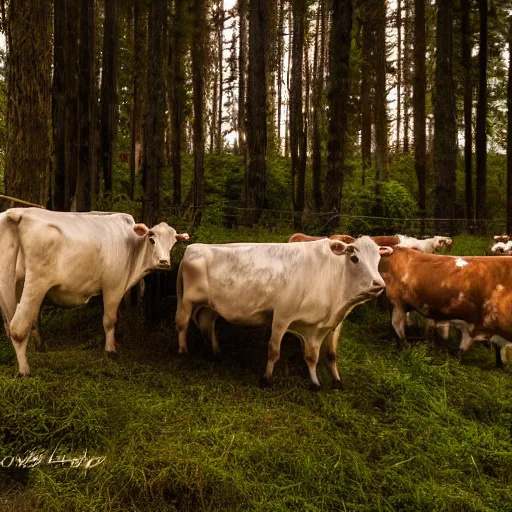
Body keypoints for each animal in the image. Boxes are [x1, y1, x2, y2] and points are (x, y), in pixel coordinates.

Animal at [0, 208, 188, 376]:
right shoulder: (113, 285)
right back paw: (24, 371)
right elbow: (110, 320)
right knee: (17, 328)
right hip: (36, 284)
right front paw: (110, 351)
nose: (164, 262)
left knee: (17, 326)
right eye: (152, 239)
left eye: (173, 243)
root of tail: (17, 213)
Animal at [176, 238, 388, 390]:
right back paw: (183, 352)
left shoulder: (330, 324)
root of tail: (193, 247)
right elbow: (274, 350)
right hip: (186, 302)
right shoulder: (282, 316)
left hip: (209, 307)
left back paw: (215, 353)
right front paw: (266, 379)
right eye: (354, 258)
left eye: (378, 260)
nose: (378, 284)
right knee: (182, 325)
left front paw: (328, 382)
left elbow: (327, 355)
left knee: (207, 325)